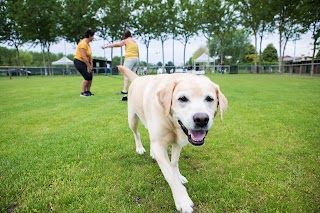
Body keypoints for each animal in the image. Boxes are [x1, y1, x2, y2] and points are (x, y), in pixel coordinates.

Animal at [118, 65, 228, 212]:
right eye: (182, 98)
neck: (172, 122)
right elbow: (169, 174)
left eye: (209, 99)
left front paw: (179, 176)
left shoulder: (178, 143)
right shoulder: (160, 145)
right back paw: (140, 148)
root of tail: (138, 78)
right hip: (132, 119)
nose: (201, 119)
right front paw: (182, 200)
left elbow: (174, 163)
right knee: (137, 134)